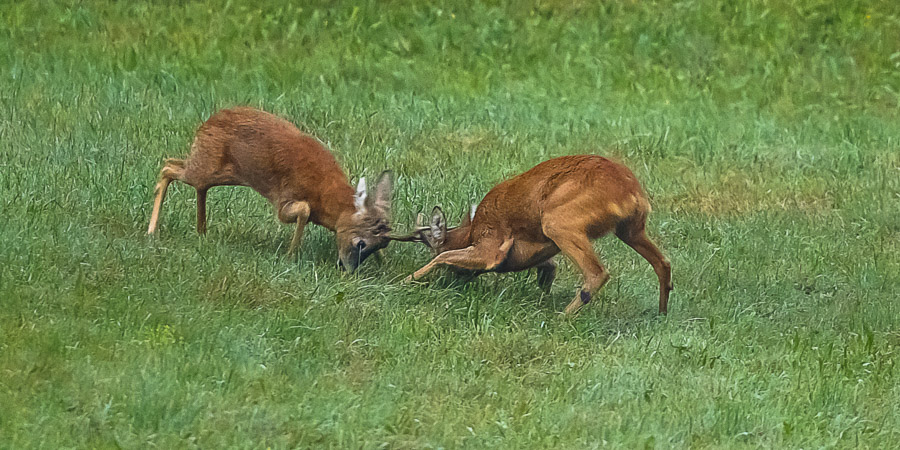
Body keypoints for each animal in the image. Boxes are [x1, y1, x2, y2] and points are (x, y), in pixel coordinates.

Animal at [148, 107, 394, 272]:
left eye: (380, 244)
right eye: (360, 243)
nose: (348, 270)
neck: (326, 197)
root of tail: (206, 123)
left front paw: (385, 264)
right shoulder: (285, 201)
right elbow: (303, 210)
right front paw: (290, 256)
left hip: (215, 170)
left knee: (188, 177)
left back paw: (201, 230)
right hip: (206, 166)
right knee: (168, 167)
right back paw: (152, 231)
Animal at [390, 156, 672, 314]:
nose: (451, 284)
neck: (470, 231)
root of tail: (631, 192)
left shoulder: (492, 245)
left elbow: (444, 256)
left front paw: (403, 282)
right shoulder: (542, 254)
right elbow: (548, 272)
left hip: (558, 221)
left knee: (597, 272)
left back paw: (563, 317)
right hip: (631, 228)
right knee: (663, 262)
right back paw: (661, 313)